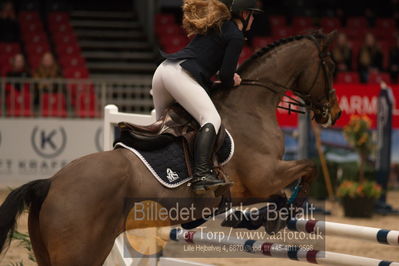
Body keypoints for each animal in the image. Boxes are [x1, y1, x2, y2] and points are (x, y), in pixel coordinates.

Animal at [0, 30, 344, 264]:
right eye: (330, 65)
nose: (335, 113)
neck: (252, 106)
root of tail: (50, 183)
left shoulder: (254, 187)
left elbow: (278, 195)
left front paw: (257, 219)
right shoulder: (265, 175)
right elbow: (308, 169)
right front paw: (282, 214)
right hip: (81, 252)